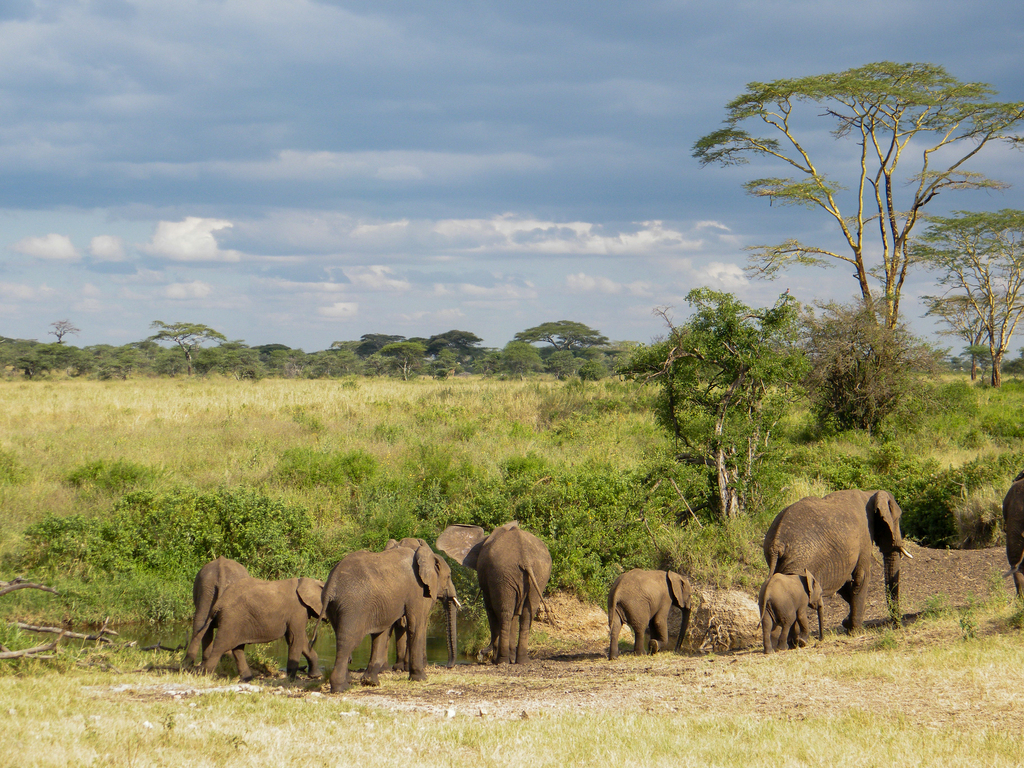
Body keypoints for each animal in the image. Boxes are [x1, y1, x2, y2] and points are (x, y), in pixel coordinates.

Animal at [311, 540, 456, 696]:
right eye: (449, 576)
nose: (448, 666)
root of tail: (331, 586)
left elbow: (381, 632)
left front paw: (370, 682)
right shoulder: (417, 590)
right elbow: (416, 625)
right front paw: (421, 679)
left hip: (335, 607)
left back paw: (347, 684)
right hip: (353, 606)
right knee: (348, 642)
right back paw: (341, 688)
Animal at [438, 524, 557, 667]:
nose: (480, 652)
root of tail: (525, 558)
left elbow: (490, 610)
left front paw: (496, 659)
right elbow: (515, 614)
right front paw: (510, 659)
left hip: (503, 573)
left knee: (505, 613)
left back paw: (501, 661)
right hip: (538, 573)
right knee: (526, 614)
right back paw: (522, 661)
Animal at [761, 487, 913, 638]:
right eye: (898, 519)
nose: (897, 626)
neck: (869, 493)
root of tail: (776, 544)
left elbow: (844, 583)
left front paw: (847, 623)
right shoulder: (865, 535)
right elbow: (861, 577)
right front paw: (856, 631)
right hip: (799, 560)